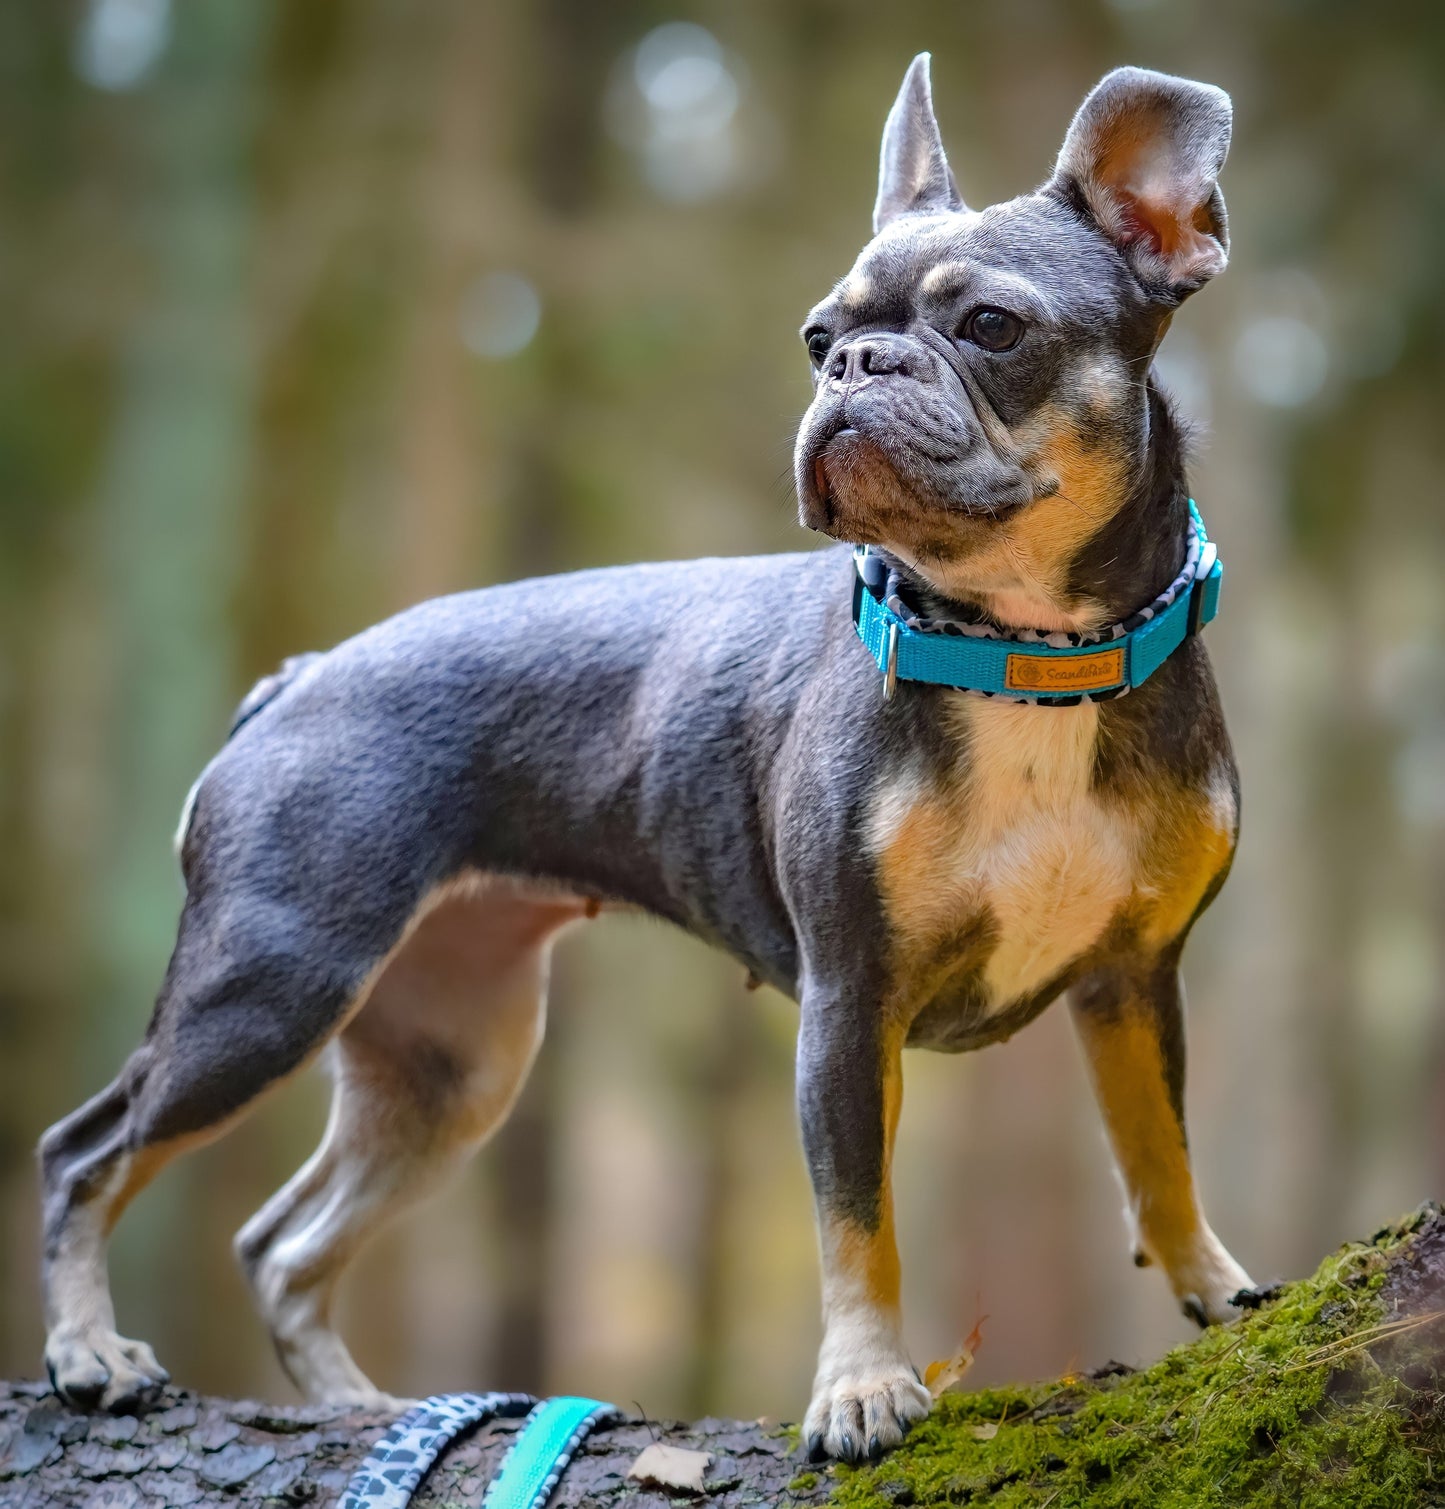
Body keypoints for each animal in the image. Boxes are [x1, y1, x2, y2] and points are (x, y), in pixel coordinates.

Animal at [36, 55, 1254, 1460]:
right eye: (816, 338)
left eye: (992, 328)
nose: (855, 365)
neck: (1025, 654)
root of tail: (295, 680)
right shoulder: (849, 1007)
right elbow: (858, 1220)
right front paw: (860, 1386)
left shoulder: (1132, 980)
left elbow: (1157, 1153)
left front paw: (1215, 1287)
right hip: (269, 983)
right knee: (86, 1154)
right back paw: (89, 1352)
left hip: (445, 1064)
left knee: (282, 1243)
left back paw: (358, 1410)